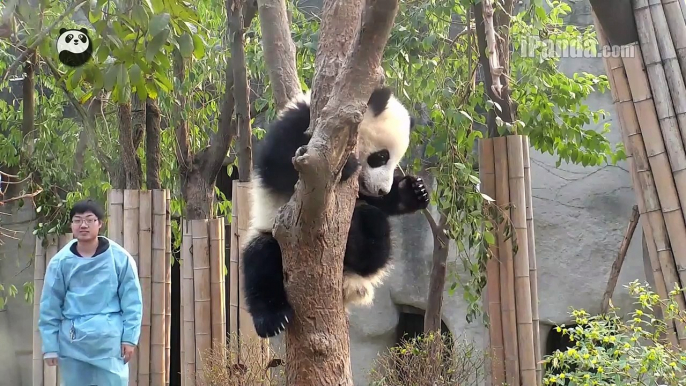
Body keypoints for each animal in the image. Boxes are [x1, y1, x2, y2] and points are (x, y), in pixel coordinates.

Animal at [243, 86, 430, 338]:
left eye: (395, 162)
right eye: (381, 157)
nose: (382, 189)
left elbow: (374, 202)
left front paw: (414, 191)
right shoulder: (296, 125)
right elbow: (279, 166)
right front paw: (345, 165)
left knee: (374, 229)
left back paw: (358, 245)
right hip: (275, 233)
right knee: (261, 262)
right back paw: (272, 320)